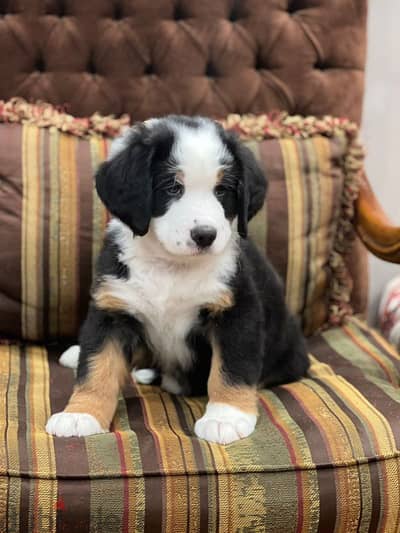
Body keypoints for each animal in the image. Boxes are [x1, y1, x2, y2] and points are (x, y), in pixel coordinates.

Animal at [47, 115, 310, 444]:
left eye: (222, 190)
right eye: (172, 187)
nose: (205, 235)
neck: (172, 266)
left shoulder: (238, 311)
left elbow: (231, 369)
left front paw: (226, 417)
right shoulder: (112, 309)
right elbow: (97, 366)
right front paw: (81, 414)